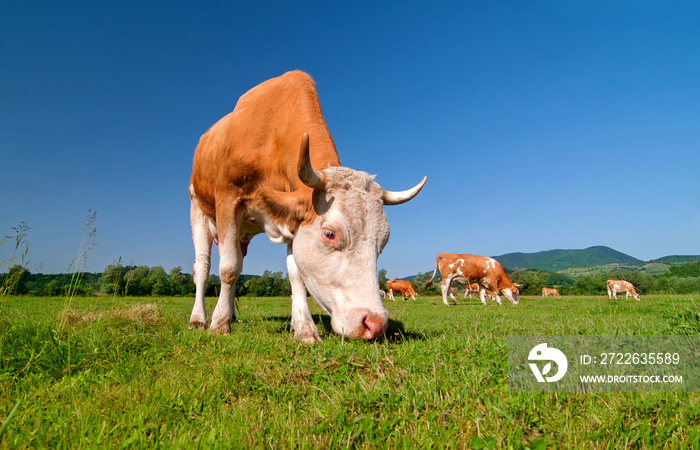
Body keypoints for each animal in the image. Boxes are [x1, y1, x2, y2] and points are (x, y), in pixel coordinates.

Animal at [187, 72, 426, 342]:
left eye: (383, 243)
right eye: (329, 234)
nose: (374, 324)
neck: (272, 135)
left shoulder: (294, 217)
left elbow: (296, 273)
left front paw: (303, 328)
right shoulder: (228, 198)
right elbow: (229, 268)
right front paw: (219, 323)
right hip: (198, 208)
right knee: (203, 267)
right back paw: (199, 319)